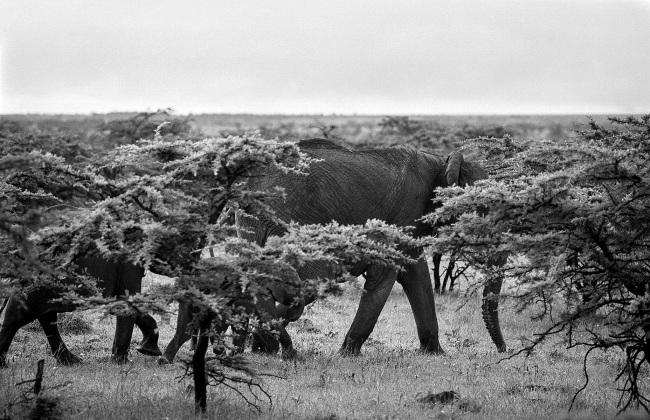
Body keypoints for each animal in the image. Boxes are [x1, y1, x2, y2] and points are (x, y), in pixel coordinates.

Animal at [0, 256, 161, 368]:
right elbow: (127, 301)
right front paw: (121, 362)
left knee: (46, 316)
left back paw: (72, 361)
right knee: (19, 313)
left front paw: (147, 350)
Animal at [238, 140, 506, 354]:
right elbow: (385, 274)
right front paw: (347, 355)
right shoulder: (404, 214)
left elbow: (416, 275)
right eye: (484, 206)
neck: (441, 163)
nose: (503, 350)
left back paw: (257, 348)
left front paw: (435, 354)